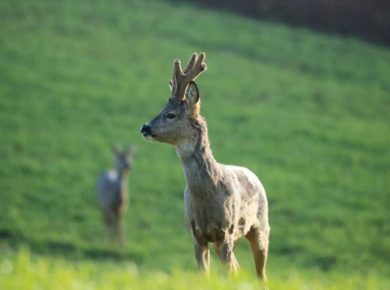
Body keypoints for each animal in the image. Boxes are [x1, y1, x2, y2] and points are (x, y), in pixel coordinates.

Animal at [141, 52, 272, 284]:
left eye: (171, 114)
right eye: (161, 110)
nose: (144, 127)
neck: (206, 197)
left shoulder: (225, 231)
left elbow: (227, 273)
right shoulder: (197, 234)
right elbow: (204, 274)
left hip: (260, 228)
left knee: (260, 274)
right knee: (238, 267)